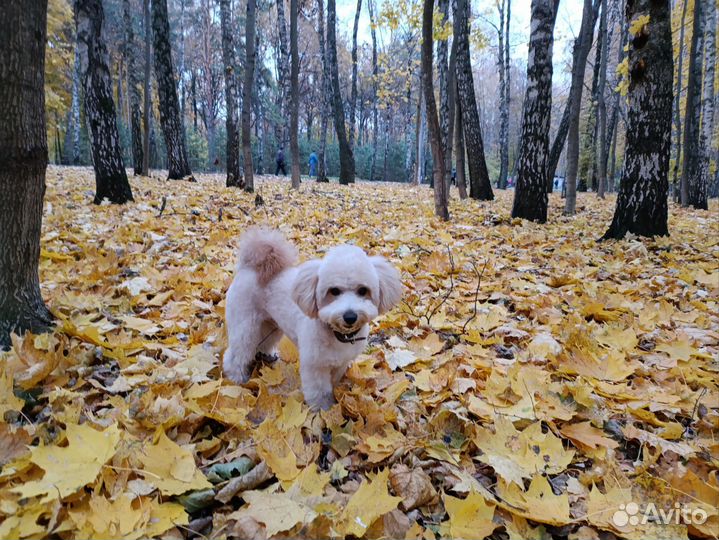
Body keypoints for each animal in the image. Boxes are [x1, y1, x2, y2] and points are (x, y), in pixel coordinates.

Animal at [224, 228, 402, 410]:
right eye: (334, 291)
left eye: (363, 290)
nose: (350, 316)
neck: (337, 334)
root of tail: (249, 268)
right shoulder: (315, 366)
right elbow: (320, 392)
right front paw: (324, 410)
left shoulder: (341, 363)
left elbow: (334, 380)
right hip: (244, 322)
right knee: (237, 353)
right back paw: (236, 378)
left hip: (270, 324)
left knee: (264, 341)